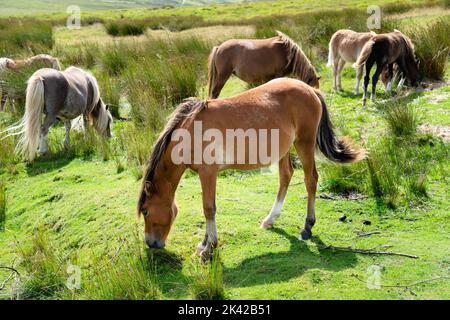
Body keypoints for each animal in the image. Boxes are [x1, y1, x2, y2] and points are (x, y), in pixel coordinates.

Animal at [135, 77, 364, 260]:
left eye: (145, 210)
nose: (150, 243)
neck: (191, 132)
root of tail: (310, 89)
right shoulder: (205, 175)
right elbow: (208, 208)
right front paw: (204, 243)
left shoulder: (208, 173)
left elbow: (209, 208)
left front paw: (209, 248)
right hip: (284, 149)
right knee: (286, 176)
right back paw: (270, 219)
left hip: (304, 144)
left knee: (311, 180)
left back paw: (307, 226)